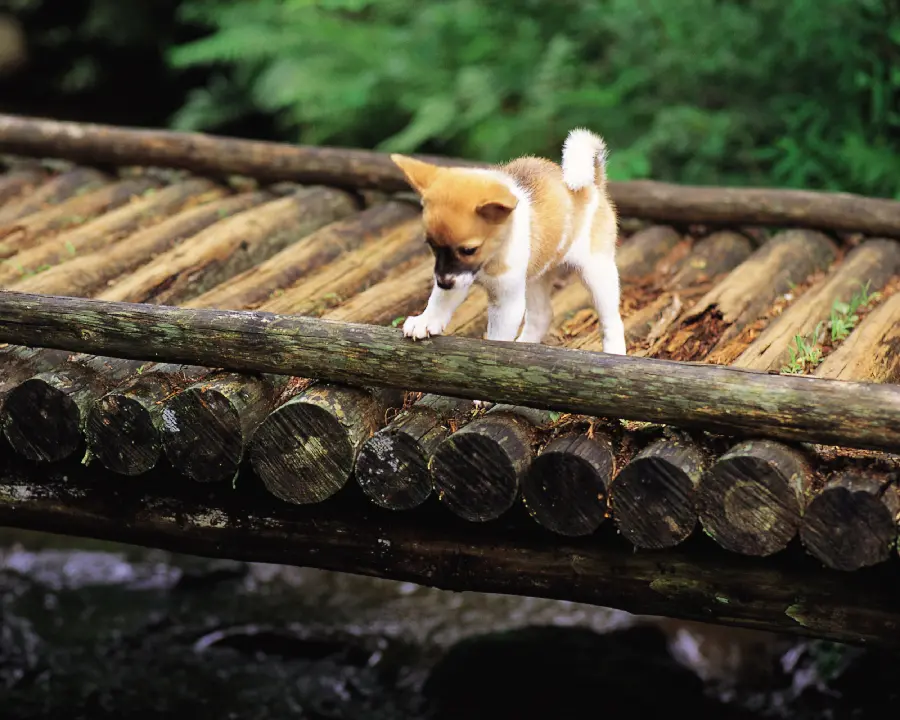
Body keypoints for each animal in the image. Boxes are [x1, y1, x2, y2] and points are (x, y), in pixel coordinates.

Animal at [394, 129, 624, 358]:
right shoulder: (458, 277)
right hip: (536, 275)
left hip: (597, 275)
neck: (490, 259)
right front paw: (426, 321)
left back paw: (614, 352)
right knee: (542, 315)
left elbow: (497, 338)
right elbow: (440, 301)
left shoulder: (505, 302)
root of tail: (593, 186)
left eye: (469, 250)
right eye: (431, 245)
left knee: (612, 321)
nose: (443, 283)